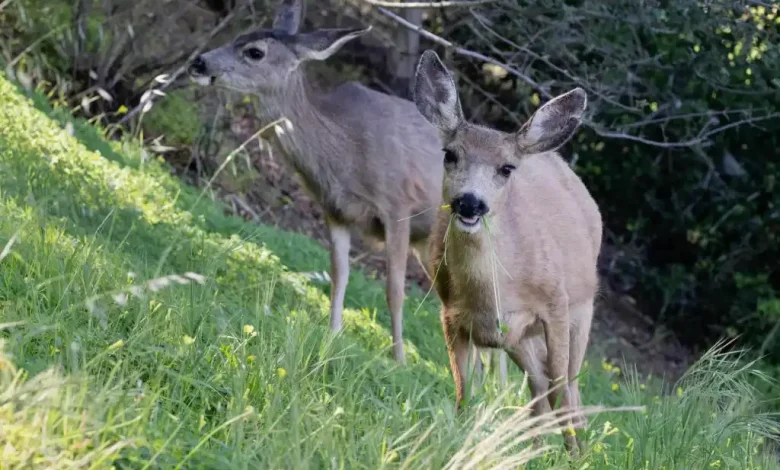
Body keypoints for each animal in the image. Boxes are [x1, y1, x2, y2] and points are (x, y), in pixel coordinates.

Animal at [186, 0, 510, 377]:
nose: (199, 62)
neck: (345, 154)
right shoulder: (334, 210)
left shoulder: (397, 205)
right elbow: (338, 274)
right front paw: (333, 334)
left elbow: (394, 290)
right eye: (239, 37)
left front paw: (398, 359)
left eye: (254, 51)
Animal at [412, 49, 602, 453]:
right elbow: (464, 392)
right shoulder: (451, 315)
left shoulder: (556, 304)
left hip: (583, 308)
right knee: (540, 385)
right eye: (449, 154)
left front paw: (572, 456)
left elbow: (562, 389)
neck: (494, 291)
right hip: (519, 338)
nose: (470, 202)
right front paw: (463, 443)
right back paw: (533, 448)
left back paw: (574, 447)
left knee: (569, 388)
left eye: (506, 168)